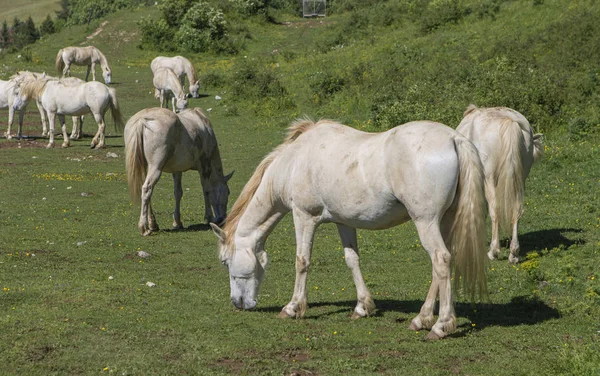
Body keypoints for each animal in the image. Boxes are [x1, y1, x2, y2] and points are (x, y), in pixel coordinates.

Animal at [123, 106, 232, 235]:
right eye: (228, 192)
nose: (223, 219)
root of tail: (142, 119)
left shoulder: (177, 170)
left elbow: (178, 193)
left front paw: (177, 222)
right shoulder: (205, 167)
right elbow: (207, 190)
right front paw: (209, 217)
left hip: (146, 167)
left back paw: (153, 224)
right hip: (155, 168)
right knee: (147, 189)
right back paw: (144, 227)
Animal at [210, 119, 488, 340]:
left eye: (225, 262)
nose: (238, 303)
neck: (294, 162)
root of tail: (454, 138)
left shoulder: (304, 217)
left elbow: (302, 261)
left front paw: (293, 307)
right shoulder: (344, 222)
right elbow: (352, 259)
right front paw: (362, 307)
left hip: (425, 222)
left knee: (441, 260)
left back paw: (441, 325)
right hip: (443, 222)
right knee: (439, 268)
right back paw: (421, 319)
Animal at [458, 105, 548, 264]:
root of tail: (509, 121)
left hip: (489, 178)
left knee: (495, 209)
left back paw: (493, 251)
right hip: (520, 179)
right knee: (517, 210)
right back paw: (514, 253)